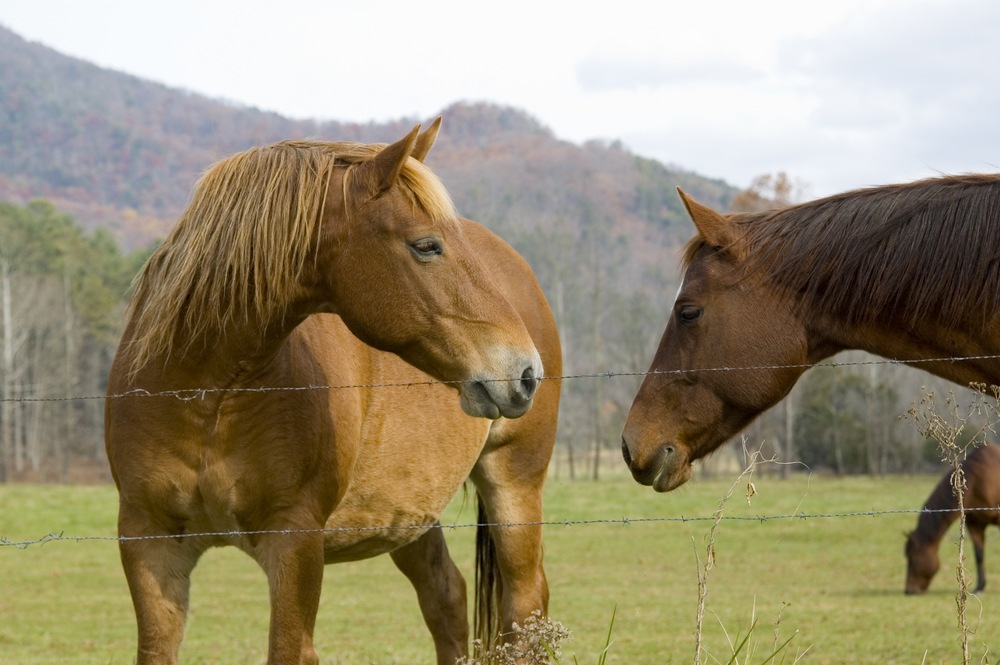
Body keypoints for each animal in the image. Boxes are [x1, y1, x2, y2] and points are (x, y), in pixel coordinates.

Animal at [109, 120, 564, 664]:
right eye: (426, 245)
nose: (525, 371)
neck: (207, 396)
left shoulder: (296, 541)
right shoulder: (149, 543)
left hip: (514, 485)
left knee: (525, 607)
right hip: (409, 512)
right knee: (447, 597)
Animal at [908, 444, 1000, 592]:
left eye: (912, 557)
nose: (909, 590)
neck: (980, 479)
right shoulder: (975, 524)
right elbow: (979, 555)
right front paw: (980, 587)